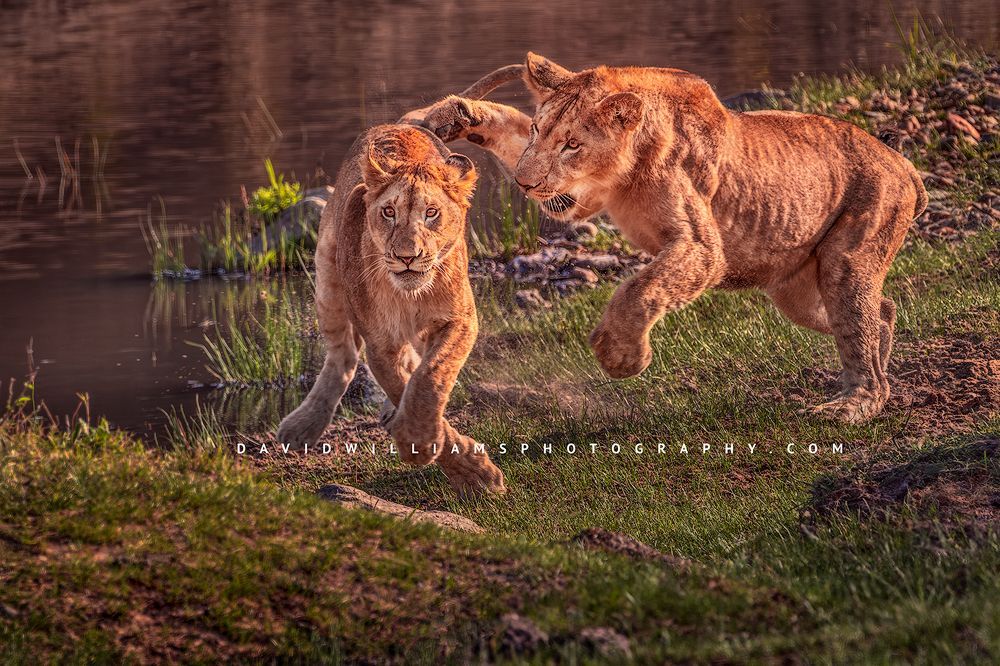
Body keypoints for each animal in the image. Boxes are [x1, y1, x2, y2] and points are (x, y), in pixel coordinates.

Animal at [276, 124, 505, 494]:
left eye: (431, 212)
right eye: (389, 212)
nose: (407, 257)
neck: (410, 296)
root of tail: (403, 123)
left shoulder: (460, 321)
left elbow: (431, 379)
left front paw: (442, 452)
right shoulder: (381, 343)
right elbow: (404, 385)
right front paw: (449, 458)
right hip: (327, 280)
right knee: (342, 358)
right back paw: (303, 425)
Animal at [410, 54, 928, 422]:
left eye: (573, 144)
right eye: (540, 129)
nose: (524, 184)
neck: (625, 170)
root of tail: (903, 163)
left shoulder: (702, 248)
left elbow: (641, 288)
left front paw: (621, 356)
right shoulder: (576, 198)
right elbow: (512, 137)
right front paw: (459, 114)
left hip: (847, 256)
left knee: (858, 324)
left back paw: (853, 404)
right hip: (796, 293)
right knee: (879, 312)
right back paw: (880, 354)